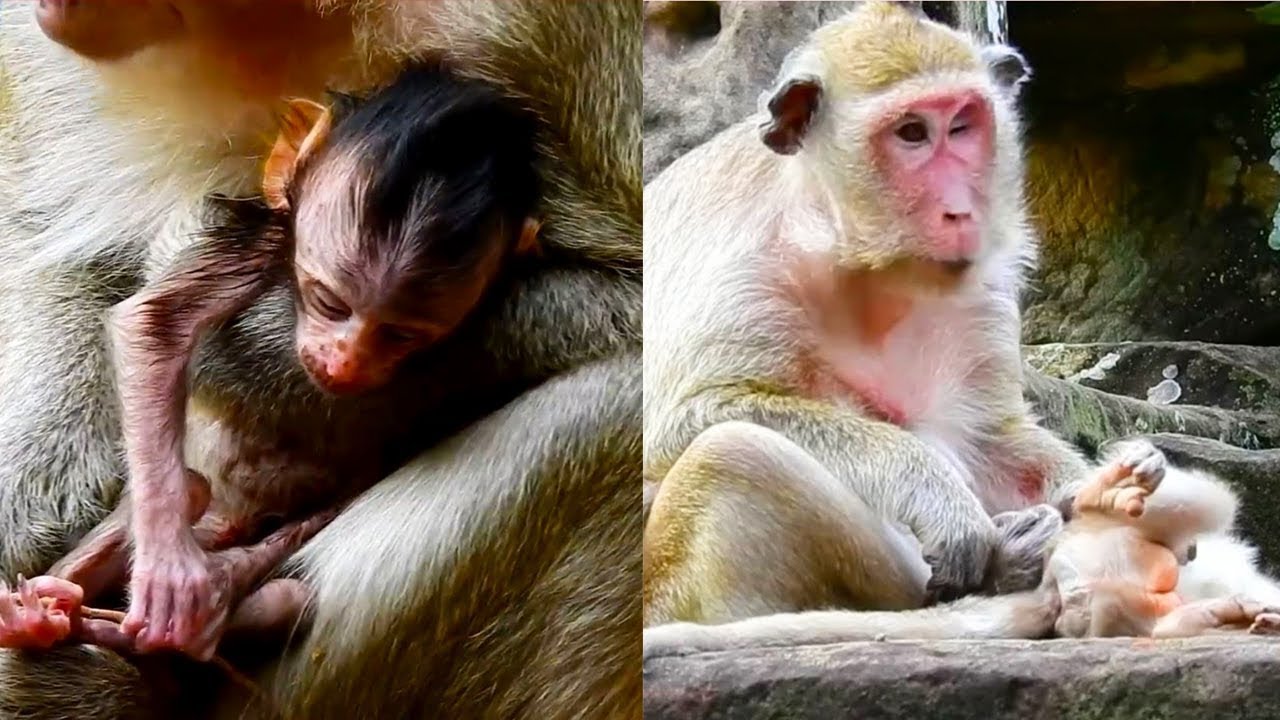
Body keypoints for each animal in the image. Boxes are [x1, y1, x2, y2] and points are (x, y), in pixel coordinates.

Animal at [0, 1, 641, 718]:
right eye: (327, 299)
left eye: (403, 332)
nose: (339, 362)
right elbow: (50, 231)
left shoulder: (539, 33)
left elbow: (632, 297)